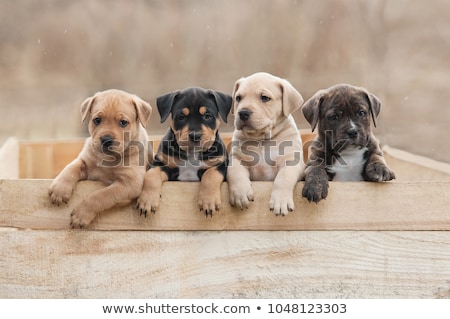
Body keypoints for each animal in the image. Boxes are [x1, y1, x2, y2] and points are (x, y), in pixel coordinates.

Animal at [48, 90, 152, 229]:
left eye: (123, 122)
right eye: (97, 120)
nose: (106, 139)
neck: (108, 158)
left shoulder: (130, 183)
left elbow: (101, 195)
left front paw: (81, 214)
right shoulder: (85, 162)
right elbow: (71, 167)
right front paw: (60, 189)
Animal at [137, 87, 232, 218]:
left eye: (207, 116)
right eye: (181, 117)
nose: (195, 136)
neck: (192, 154)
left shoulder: (220, 164)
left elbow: (210, 175)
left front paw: (208, 201)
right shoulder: (161, 164)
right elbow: (151, 176)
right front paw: (147, 201)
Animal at [227, 73, 304, 218]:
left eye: (264, 98)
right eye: (238, 98)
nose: (243, 112)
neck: (262, 140)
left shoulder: (291, 160)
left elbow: (283, 178)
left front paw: (281, 201)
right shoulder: (237, 158)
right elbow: (235, 172)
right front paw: (241, 193)